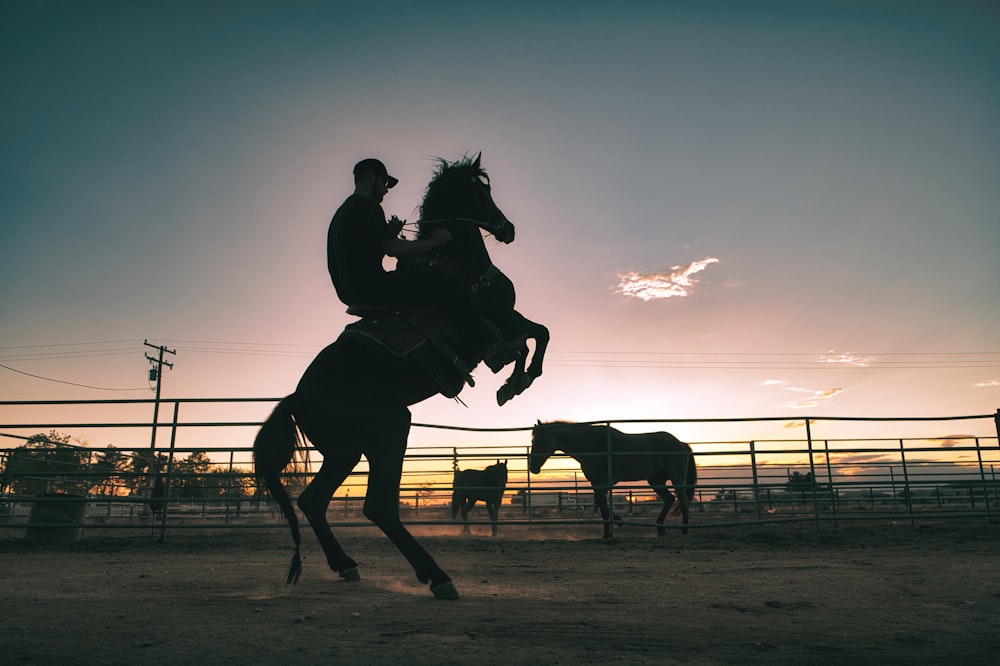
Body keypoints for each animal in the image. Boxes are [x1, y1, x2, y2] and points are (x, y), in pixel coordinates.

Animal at [252, 154, 548, 596]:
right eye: (482, 191)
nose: (507, 229)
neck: (461, 266)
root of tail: (298, 397)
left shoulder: (507, 319)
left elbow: (534, 335)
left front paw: (512, 382)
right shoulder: (495, 321)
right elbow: (535, 337)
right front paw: (516, 381)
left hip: (344, 451)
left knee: (313, 501)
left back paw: (346, 565)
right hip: (390, 427)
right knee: (378, 505)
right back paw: (437, 577)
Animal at [532, 420, 696, 540]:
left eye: (539, 440)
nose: (532, 467)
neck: (593, 445)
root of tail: (681, 443)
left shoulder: (608, 480)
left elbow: (600, 501)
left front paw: (617, 522)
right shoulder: (595, 482)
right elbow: (600, 503)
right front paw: (607, 532)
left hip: (676, 479)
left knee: (683, 501)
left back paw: (685, 531)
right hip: (656, 481)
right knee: (669, 499)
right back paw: (660, 529)